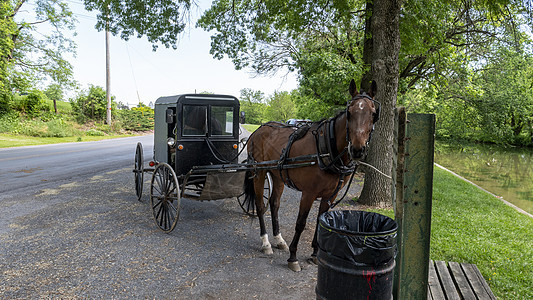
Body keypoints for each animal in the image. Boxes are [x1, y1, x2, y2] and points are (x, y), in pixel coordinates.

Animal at [243, 78, 376, 270]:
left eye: (373, 113)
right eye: (349, 113)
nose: (357, 149)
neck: (327, 147)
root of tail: (258, 130)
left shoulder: (330, 195)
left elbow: (322, 221)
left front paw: (314, 254)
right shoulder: (309, 193)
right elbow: (300, 223)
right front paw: (293, 257)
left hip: (277, 175)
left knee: (274, 204)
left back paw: (278, 239)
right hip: (259, 173)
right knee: (261, 206)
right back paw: (266, 243)